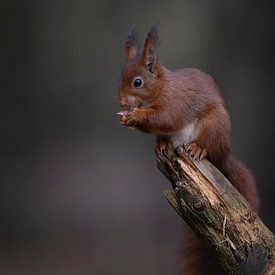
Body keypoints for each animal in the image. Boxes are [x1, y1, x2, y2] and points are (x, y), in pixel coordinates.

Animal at [117, 26, 260, 275]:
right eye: (120, 77)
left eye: (137, 82)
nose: (122, 102)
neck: (161, 88)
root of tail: (224, 154)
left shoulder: (174, 103)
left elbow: (165, 118)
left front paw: (134, 117)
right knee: (165, 139)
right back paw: (162, 146)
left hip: (214, 125)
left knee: (209, 147)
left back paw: (198, 149)